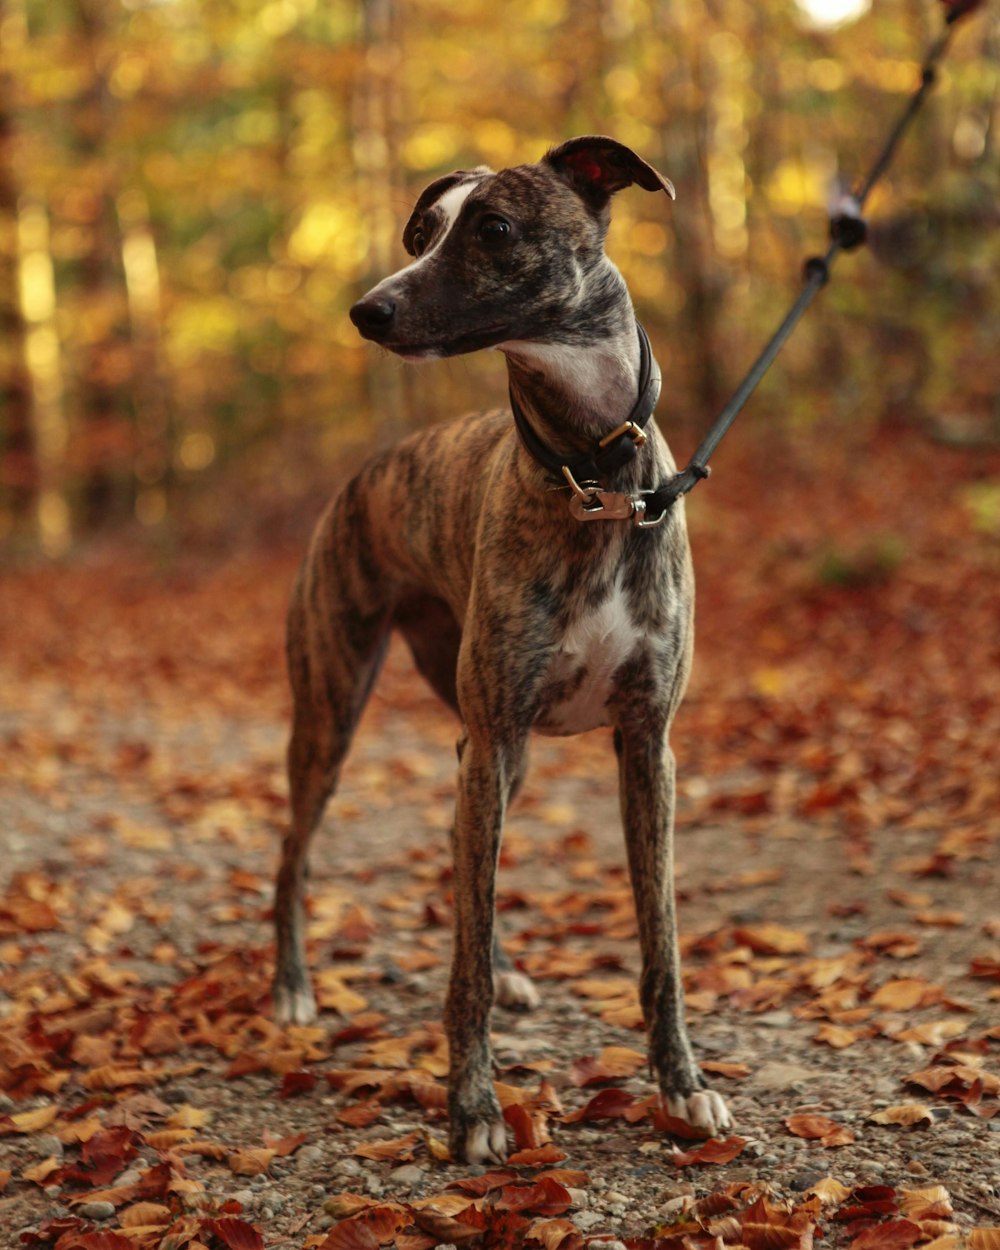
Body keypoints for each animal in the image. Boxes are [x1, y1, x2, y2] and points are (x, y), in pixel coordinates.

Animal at [273, 134, 735, 1160]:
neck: (594, 477)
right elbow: (463, 979)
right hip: (342, 709)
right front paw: (475, 1113)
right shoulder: (496, 738)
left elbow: (662, 943)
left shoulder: (646, 745)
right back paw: (290, 986)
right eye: (422, 233)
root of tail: (362, 475)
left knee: (463, 871)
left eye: (493, 228)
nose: (368, 309)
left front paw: (682, 1089)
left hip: (491, 751)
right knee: (295, 851)